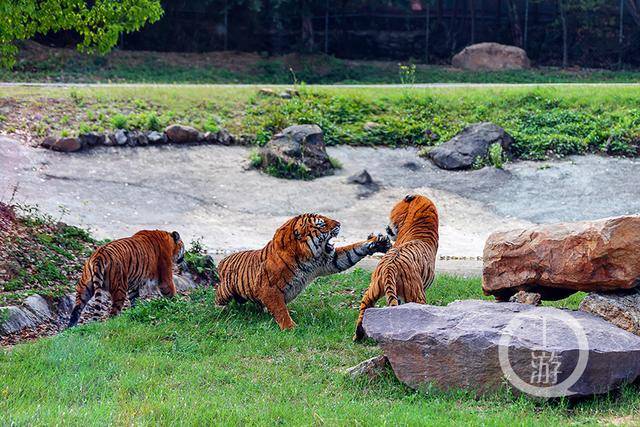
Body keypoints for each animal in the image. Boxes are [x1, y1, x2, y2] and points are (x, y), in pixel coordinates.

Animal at [218, 214, 392, 332]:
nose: (339, 223)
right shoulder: (268, 288)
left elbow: (351, 252)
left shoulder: (329, 261)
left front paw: (377, 243)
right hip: (224, 292)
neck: (307, 256)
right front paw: (290, 327)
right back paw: (221, 311)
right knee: (219, 299)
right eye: (322, 224)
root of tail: (222, 261)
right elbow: (280, 309)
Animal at [352, 195, 438, 342]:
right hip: (417, 296)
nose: (386, 227)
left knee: (363, 313)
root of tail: (389, 268)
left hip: (371, 291)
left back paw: (357, 336)